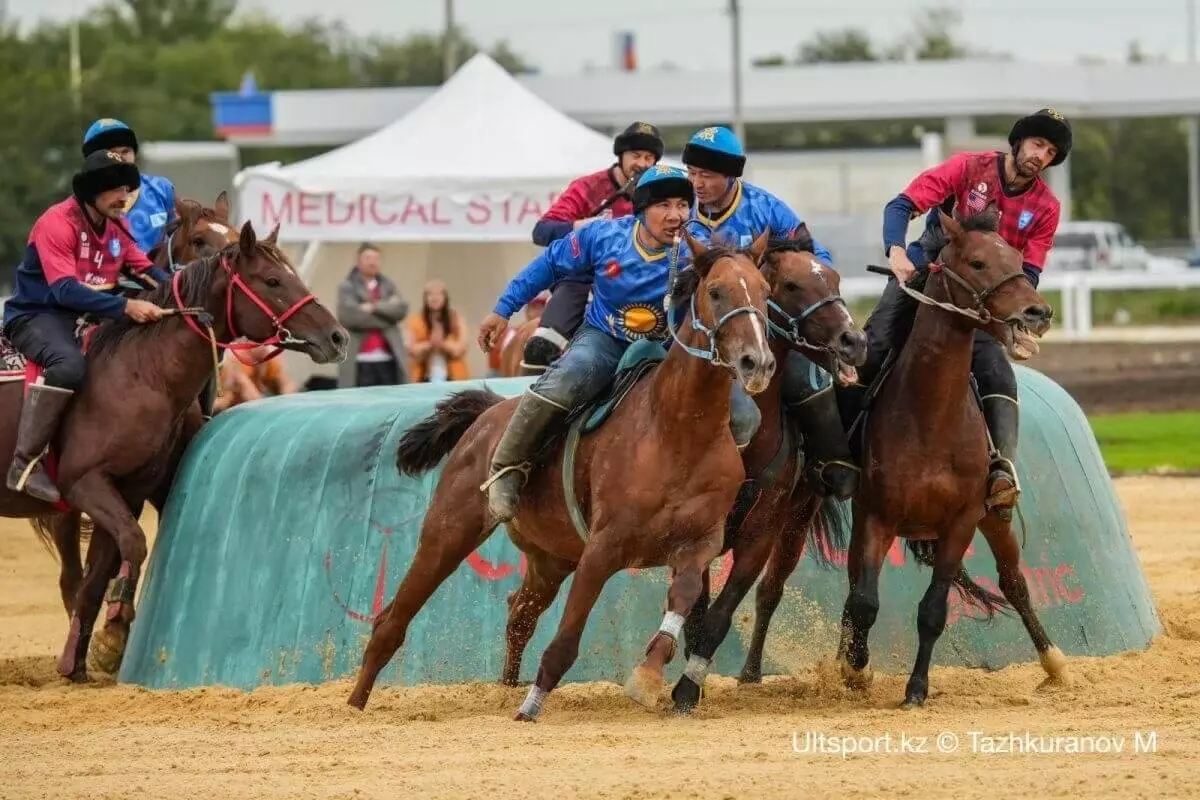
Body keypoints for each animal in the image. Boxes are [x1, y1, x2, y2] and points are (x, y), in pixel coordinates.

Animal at [0, 219, 348, 681]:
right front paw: (113, 634)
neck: (140, 373)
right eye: (273, 280)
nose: (338, 336)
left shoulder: (127, 492)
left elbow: (106, 568)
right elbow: (130, 546)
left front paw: (89, 655)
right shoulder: (84, 483)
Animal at [348, 231, 777, 719]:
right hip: (448, 531)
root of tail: (488, 412)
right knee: (392, 620)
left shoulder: (698, 543)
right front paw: (530, 707)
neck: (678, 430)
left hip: (549, 558)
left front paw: (649, 677)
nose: (757, 362)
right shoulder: (602, 548)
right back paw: (356, 703)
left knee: (519, 612)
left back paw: (505, 683)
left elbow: (682, 603)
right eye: (717, 291)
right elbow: (566, 640)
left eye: (765, 290)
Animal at [667, 237, 873, 714]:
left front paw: (688, 688)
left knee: (770, 592)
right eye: (792, 285)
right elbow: (697, 606)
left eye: (835, 279)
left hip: (797, 520)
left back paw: (751, 673)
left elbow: (722, 614)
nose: (854, 340)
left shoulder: (762, 530)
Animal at [830, 208, 1065, 705]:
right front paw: (855, 667)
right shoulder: (877, 517)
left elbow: (934, 609)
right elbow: (865, 602)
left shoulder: (962, 521)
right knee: (855, 588)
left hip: (994, 518)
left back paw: (1055, 662)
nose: (1038, 312)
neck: (931, 414)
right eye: (977, 262)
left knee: (1015, 583)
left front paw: (917, 689)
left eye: (1018, 259)